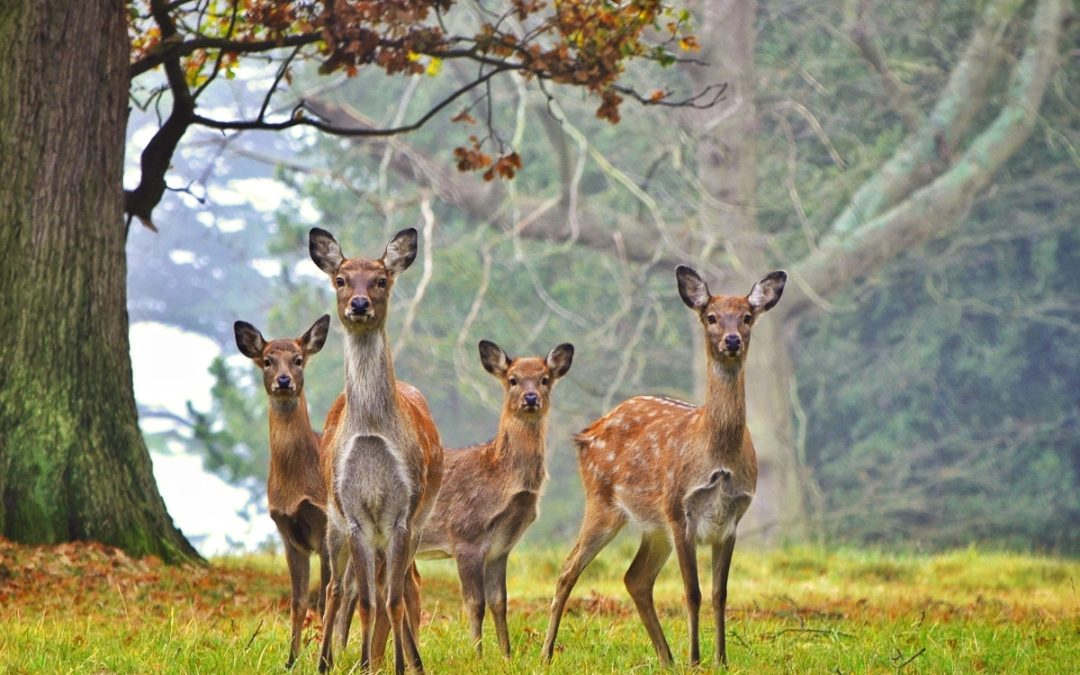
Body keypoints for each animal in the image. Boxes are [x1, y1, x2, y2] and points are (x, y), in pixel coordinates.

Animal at [233, 314, 332, 669]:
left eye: (298, 359)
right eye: (267, 360)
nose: (285, 380)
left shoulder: (327, 525)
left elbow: (325, 599)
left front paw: (325, 662)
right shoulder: (288, 533)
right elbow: (298, 601)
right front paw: (291, 660)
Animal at [309, 226, 444, 674]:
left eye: (381, 280)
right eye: (341, 279)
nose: (359, 303)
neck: (371, 431)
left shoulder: (403, 511)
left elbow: (393, 599)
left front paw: (398, 666)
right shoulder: (353, 514)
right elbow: (367, 601)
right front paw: (366, 663)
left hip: (417, 522)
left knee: (403, 585)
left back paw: (413, 660)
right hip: (332, 519)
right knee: (336, 587)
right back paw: (324, 661)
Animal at [415, 339, 574, 657]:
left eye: (544, 379)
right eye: (512, 379)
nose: (530, 397)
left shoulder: (502, 547)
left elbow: (500, 601)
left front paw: (506, 655)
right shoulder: (465, 535)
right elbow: (475, 604)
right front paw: (476, 654)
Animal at [541, 267, 787, 668]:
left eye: (747, 317)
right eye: (711, 317)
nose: (732, 340)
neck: (718, 458)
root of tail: (586, 434)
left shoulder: (731, 518)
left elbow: (720, 594)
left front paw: (720, 660)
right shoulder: (679, 509)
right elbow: (693, 592)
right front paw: (696, 661)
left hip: (652, 526)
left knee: (635, 578)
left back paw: (666, 658)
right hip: (603, 501)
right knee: (568, 567)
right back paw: (546, 654)